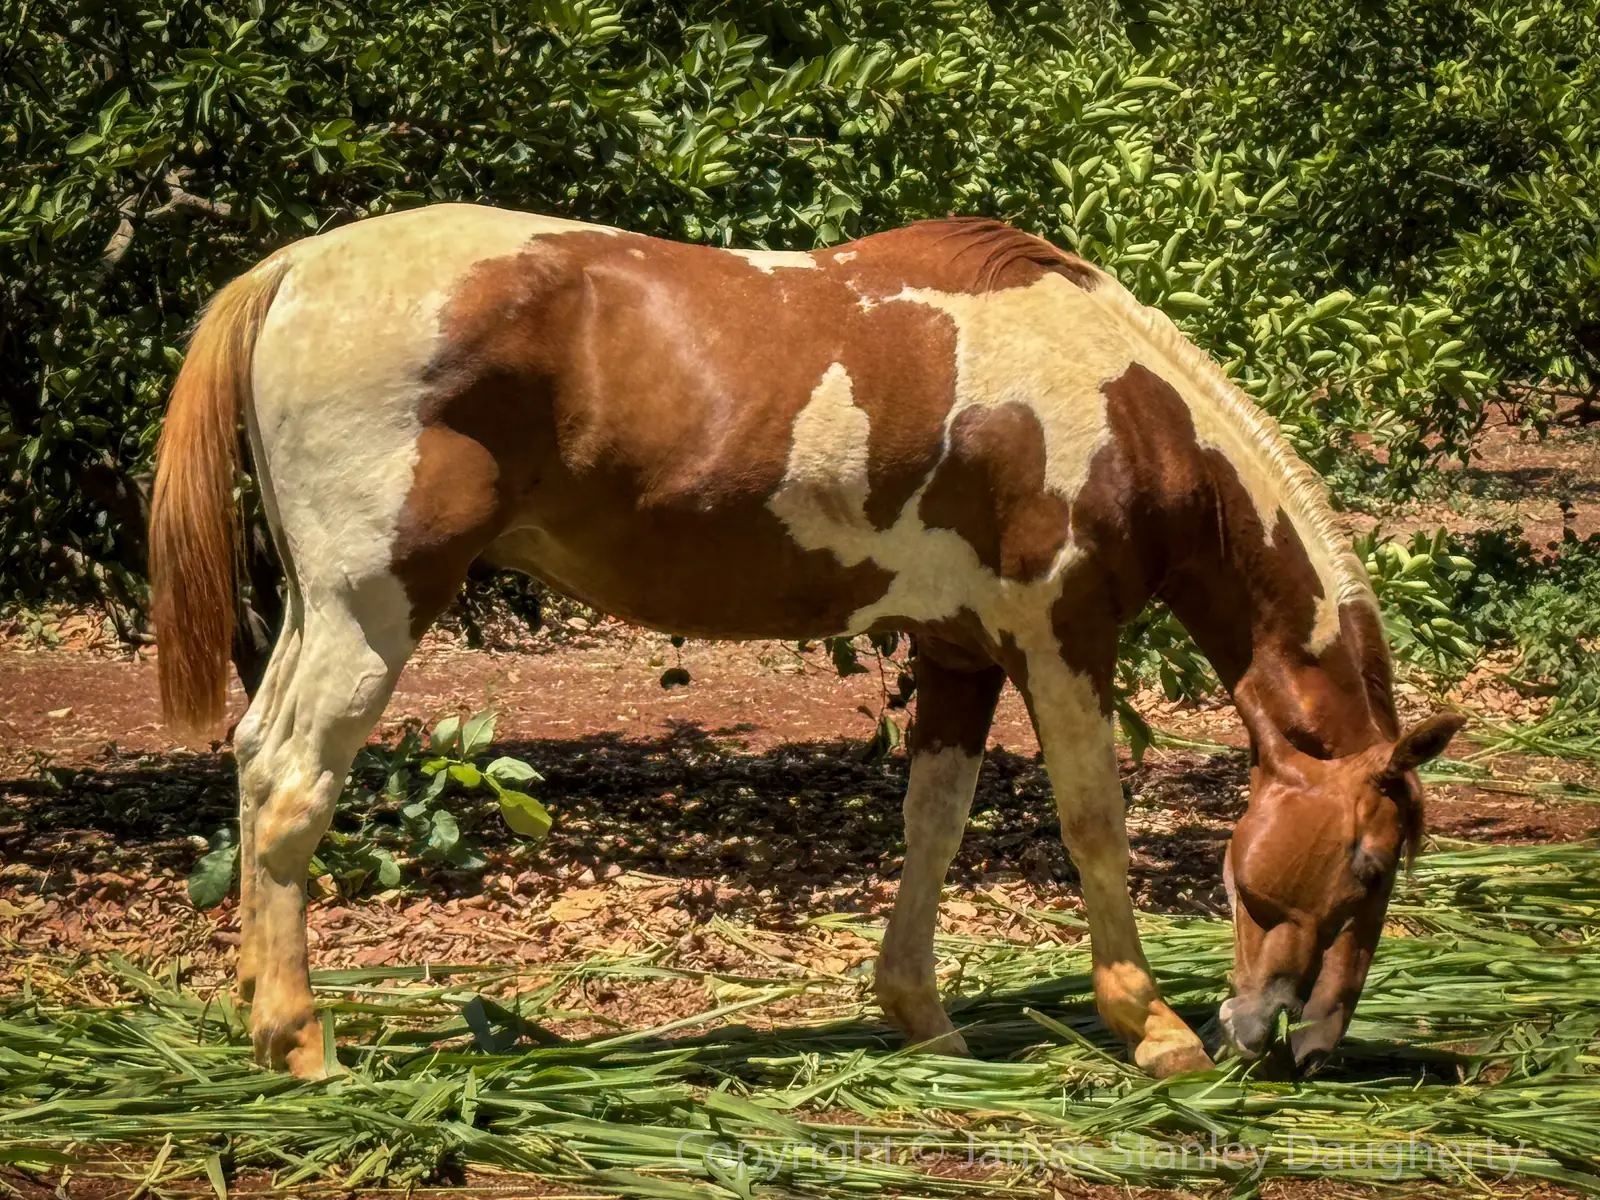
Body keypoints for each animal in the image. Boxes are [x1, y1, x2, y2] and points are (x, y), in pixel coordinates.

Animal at [149, 204, 1463, 1079]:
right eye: (1367, 865)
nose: (1300, 1041)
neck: (1126, 409)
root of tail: (296, 268)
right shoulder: (1060, 640)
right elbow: (1094, 825)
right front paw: (1152, 1028)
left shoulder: (960, 654)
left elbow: (933, 824)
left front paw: (920, 1016)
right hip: (374, 605)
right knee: (295, 788)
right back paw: (301, 1044)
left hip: (320, 609)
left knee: (256, 758)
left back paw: (256, 1007)